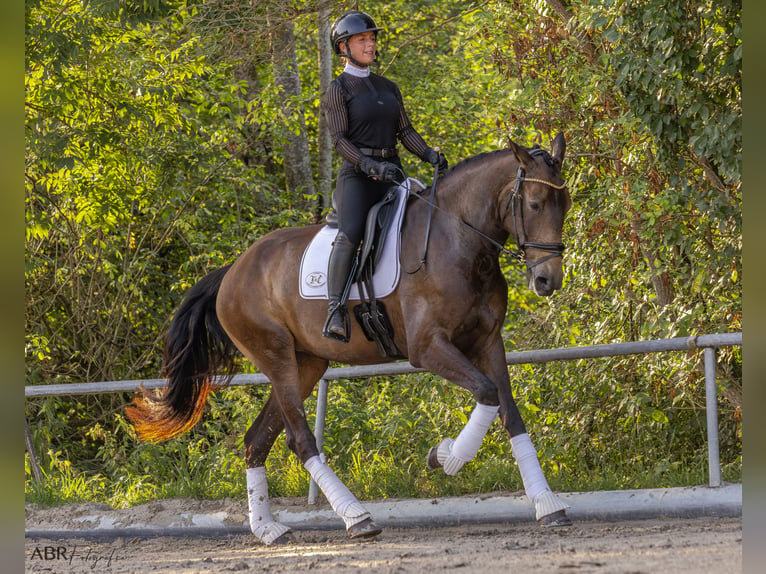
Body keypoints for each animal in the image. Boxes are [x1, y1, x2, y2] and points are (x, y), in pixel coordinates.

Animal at [127, 133, 568, 548]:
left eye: (564, 204)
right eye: (533, 204)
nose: (548, 280)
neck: (458, 240)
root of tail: (233, 271)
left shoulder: (488, 342)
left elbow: (509, 412)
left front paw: (548, 505)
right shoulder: (427, 348)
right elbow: (487, 392)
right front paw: (445, 458)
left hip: (307, 364)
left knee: (257, 441)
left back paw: (269, 529)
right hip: (276, 357)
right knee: (301, 440)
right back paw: (357, 518)